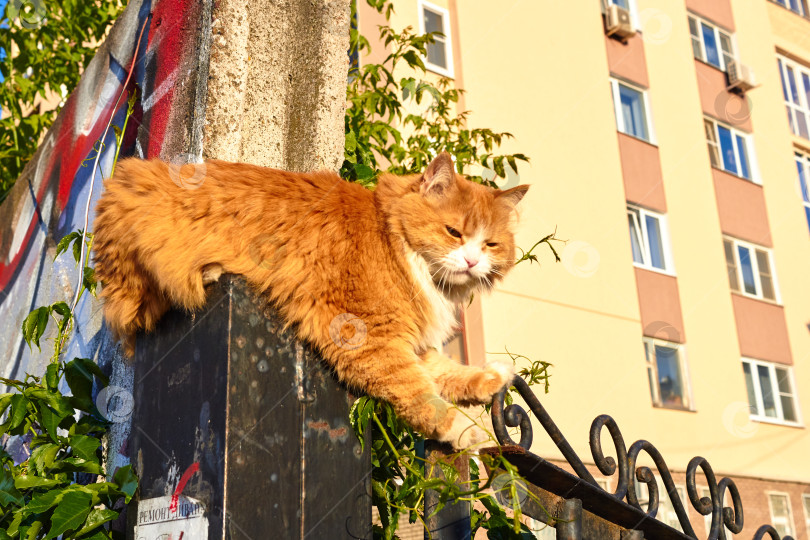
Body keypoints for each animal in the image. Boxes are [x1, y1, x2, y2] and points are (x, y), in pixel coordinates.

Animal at [93, 152, 524, 448]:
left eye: (490, 244)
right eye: (453, 232)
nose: (472, 261)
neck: (395, 244)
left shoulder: (408, 340)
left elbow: (448, 372)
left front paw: (491, 377)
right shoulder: (369, 338)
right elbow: (422, 393)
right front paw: (464, 432)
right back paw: (210, 270)